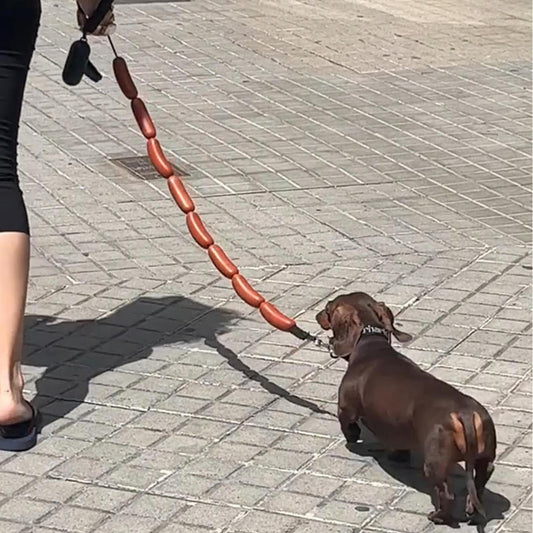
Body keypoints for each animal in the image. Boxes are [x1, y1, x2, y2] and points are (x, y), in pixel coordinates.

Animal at [316, 294, 494, 524]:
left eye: (328, 308)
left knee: (447, 494)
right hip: (484, 459)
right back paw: (471, 510)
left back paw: (438, 516)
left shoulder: (346, 408)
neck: (370, 344)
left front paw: (353, 437)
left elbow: (348, 425)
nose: (317, 314)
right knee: (480, 483)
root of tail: (464, 414)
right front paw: (397, 455)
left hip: (435, 464)